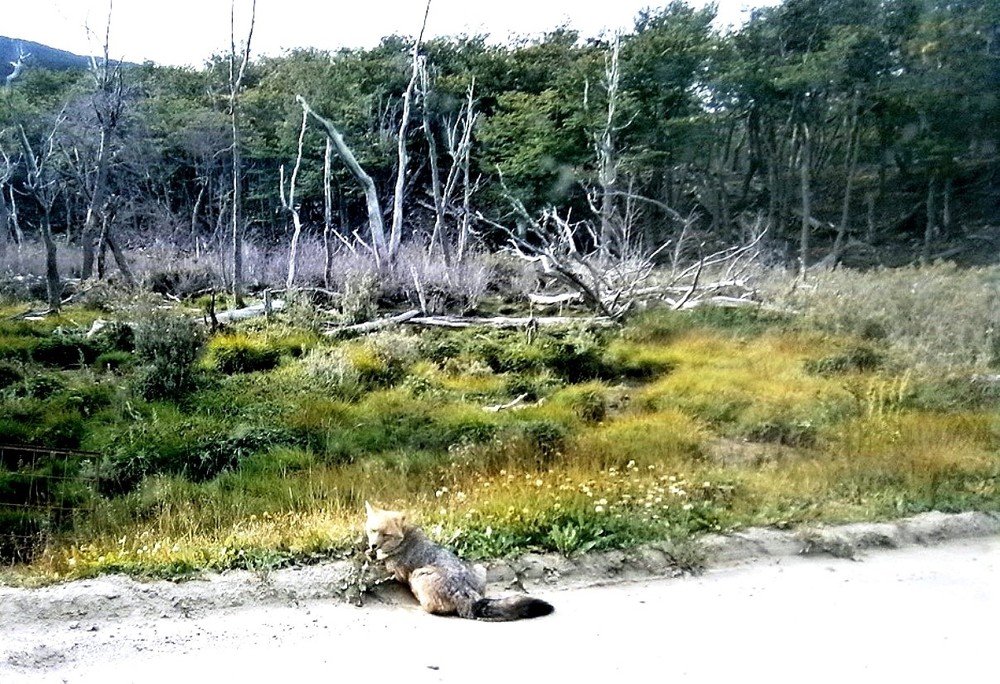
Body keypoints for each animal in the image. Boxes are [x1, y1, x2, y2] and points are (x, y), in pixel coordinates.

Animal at [364, 502, 554, 621]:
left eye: (386, 535)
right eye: (372, 531)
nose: (373, 545)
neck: (403, 537)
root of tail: (467, 592)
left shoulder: (395, 570)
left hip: (418, 575)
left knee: (433, 608)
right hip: (479, 567)